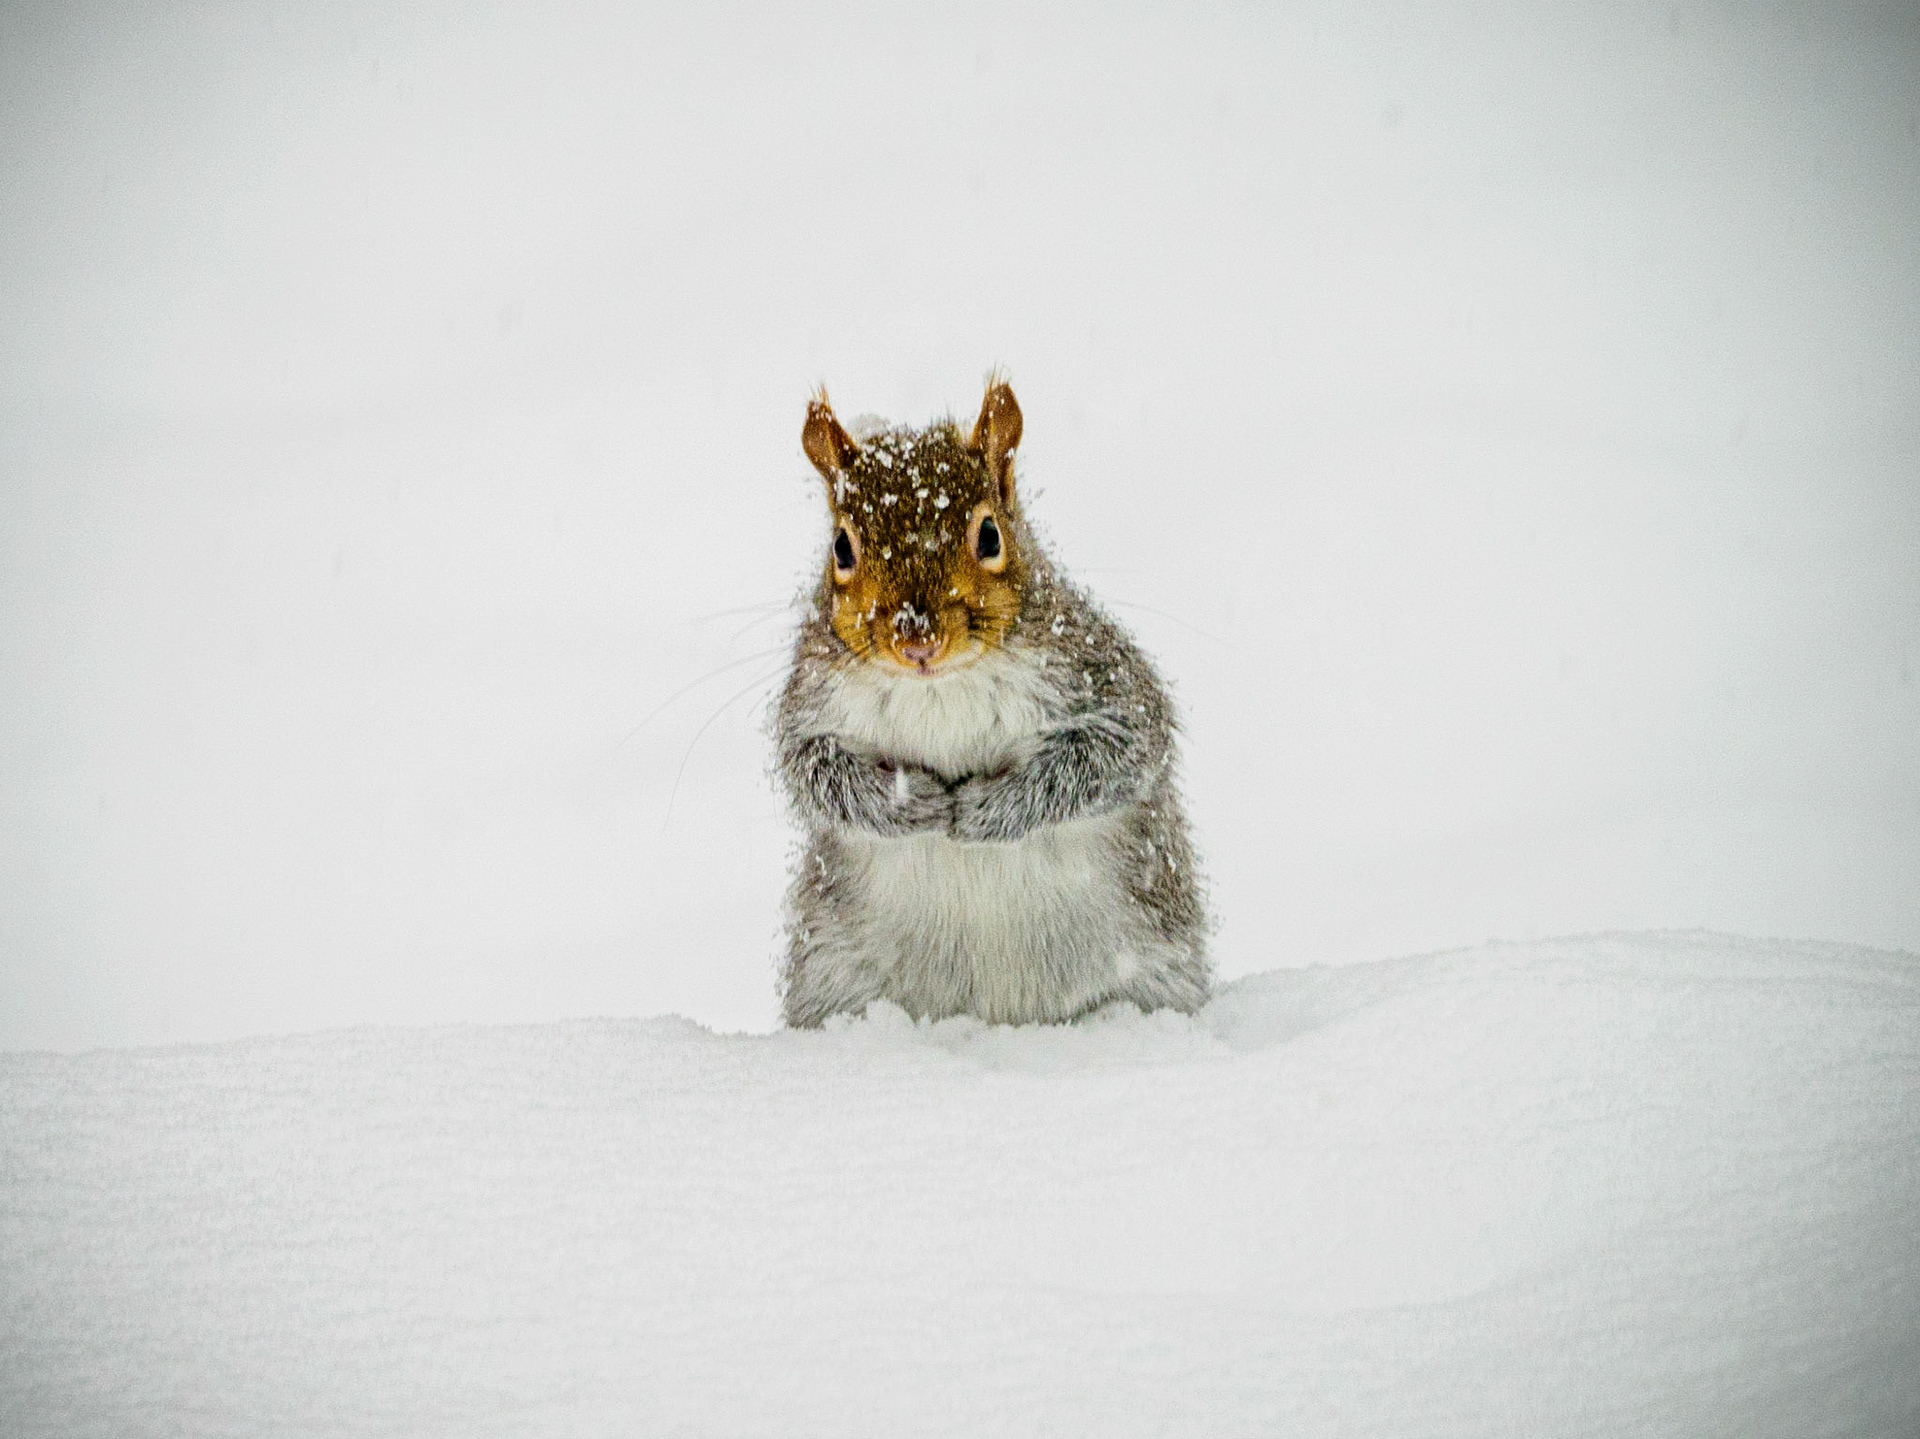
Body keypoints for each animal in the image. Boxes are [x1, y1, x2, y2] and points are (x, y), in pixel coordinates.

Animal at [773, 376, 1211, 1028]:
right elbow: (814, 774)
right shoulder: (811, 702)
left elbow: (1115, 757)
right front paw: (912, 802)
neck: (938, 686)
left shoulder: (1102, 682)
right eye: (842, 547)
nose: (917, 639)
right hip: (832, 980)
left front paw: (985, 809)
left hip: (1155, 970)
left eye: (989, 535)